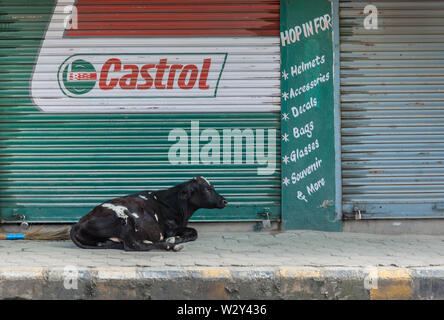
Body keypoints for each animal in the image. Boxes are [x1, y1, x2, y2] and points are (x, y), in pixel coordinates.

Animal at [71, 176, 229, 251]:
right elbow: (194, 232)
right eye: (207, 189)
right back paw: (171, 245)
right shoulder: (169, 229)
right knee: (133, 246)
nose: (224, 200)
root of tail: (79, 222)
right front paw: (176, 239)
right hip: (125, 221)